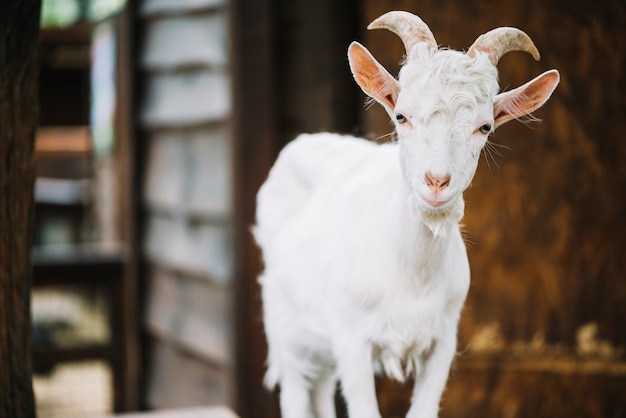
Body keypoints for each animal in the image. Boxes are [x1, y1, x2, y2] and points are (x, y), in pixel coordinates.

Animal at [256, 10, 560, 418]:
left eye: (485, 126)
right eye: (401, 116)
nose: (437, 182)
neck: (413, 274)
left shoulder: (442, 341)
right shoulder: (352, 339)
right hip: (285, 325)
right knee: (294, 390)